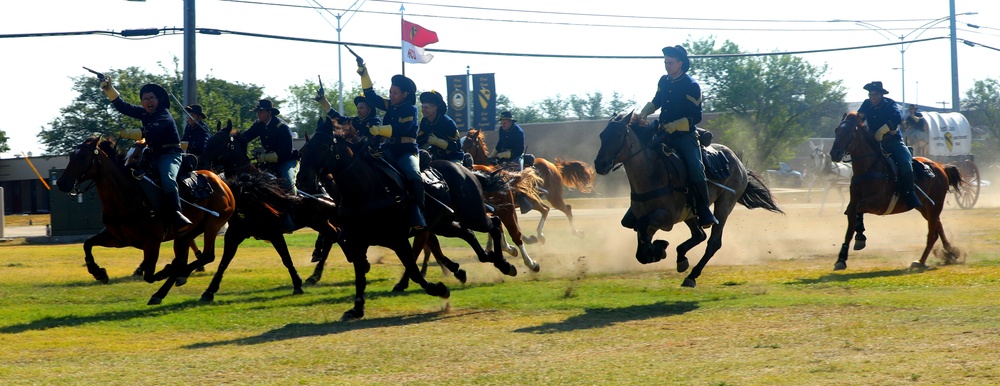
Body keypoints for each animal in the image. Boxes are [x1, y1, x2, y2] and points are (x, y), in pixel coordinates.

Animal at [56, 136, 234, 304]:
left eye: (83, 157)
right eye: (71, 156)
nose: (61, 183)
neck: (127, 195)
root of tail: (222, 183)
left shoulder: (152, 242)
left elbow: (149, 274)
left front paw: (166, 270)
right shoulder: (119, 239)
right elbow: (88, 244)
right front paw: (98, 272)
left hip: (212, 225)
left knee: (206, 256)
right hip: (185, 235)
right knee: (185, 259)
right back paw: (163, 291)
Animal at [296, 132, 516, 320]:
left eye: (323, 147)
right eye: (303, 150)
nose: (302, 179)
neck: (367, 190)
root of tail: (467, 171)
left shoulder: (398, 240)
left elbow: (414, 270)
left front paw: (439, 289)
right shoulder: (358, 242)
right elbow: (360, 275)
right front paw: (357, 308)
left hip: (473, 215)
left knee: (495, 224)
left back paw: (504, 263)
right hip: (444, 224)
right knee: (469, 233)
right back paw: (489, 259)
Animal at [460, 130, 592, 244]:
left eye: (469, 143)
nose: (463, 158)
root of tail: (553, 166)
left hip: (554, 197)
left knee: (566, 209)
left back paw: (576, 233)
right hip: (533, 200)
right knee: (546, 209)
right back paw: (539, 235)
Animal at [592, 111, 780, 286]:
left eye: (618, 135)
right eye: (602, 135)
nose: (600, 164)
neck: (652, 173)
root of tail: (738, 162)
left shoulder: (666, 217)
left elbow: (644, 233)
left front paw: (659, 248)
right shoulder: (646, 220)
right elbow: (641, 249)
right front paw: (658, 249)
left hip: (725, 205)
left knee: (713, 242)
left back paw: (692, 275)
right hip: (691, 213)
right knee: (699, 235)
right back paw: (681, 258)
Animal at [828, 111, 960, 268]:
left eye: (849, 132)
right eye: (836, 130)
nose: (834, 153)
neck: (869, 168)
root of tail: (941, 167)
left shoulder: (878, 203)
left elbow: (859, 211)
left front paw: (860, 238)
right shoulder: (852, 204)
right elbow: (849, 231)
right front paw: (841, 259)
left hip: (935, 205)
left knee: (932, 234)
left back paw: (922, 261)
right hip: (925, 207)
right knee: (937, 229)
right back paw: (949, 252)